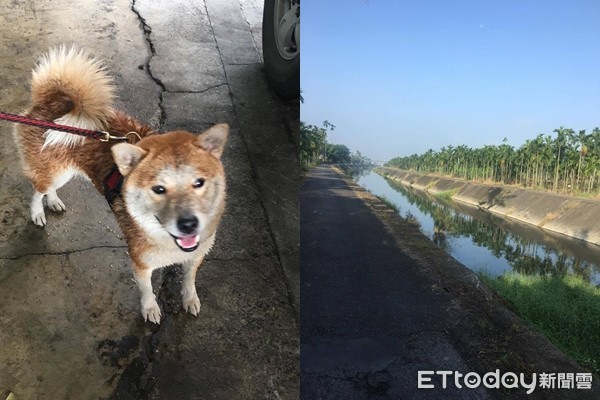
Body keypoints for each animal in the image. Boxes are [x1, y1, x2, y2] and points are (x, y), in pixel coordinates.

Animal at [14, 46, 230, 324]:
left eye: (199, 183)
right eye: (158, 189)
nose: (189, 224)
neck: (168, 241)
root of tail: (52, 100)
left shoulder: (195, 256)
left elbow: (189, 280)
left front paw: (190, 299)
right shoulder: (141, 264)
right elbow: (147, 290)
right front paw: (150, 309)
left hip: (65, 172)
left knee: (47, 189)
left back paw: (53, 201)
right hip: (55, 172)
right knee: (37, 190)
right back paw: (38, 213)